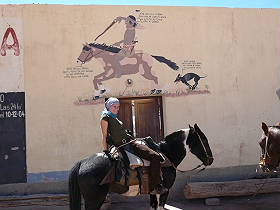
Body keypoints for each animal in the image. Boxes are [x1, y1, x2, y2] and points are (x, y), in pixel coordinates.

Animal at [69, 124, 213, 209]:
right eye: (204, 140)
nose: (211, 160)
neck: (166, 153)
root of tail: (82, 163)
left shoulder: (153, 192)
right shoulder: (165, 190)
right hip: (94, 199)